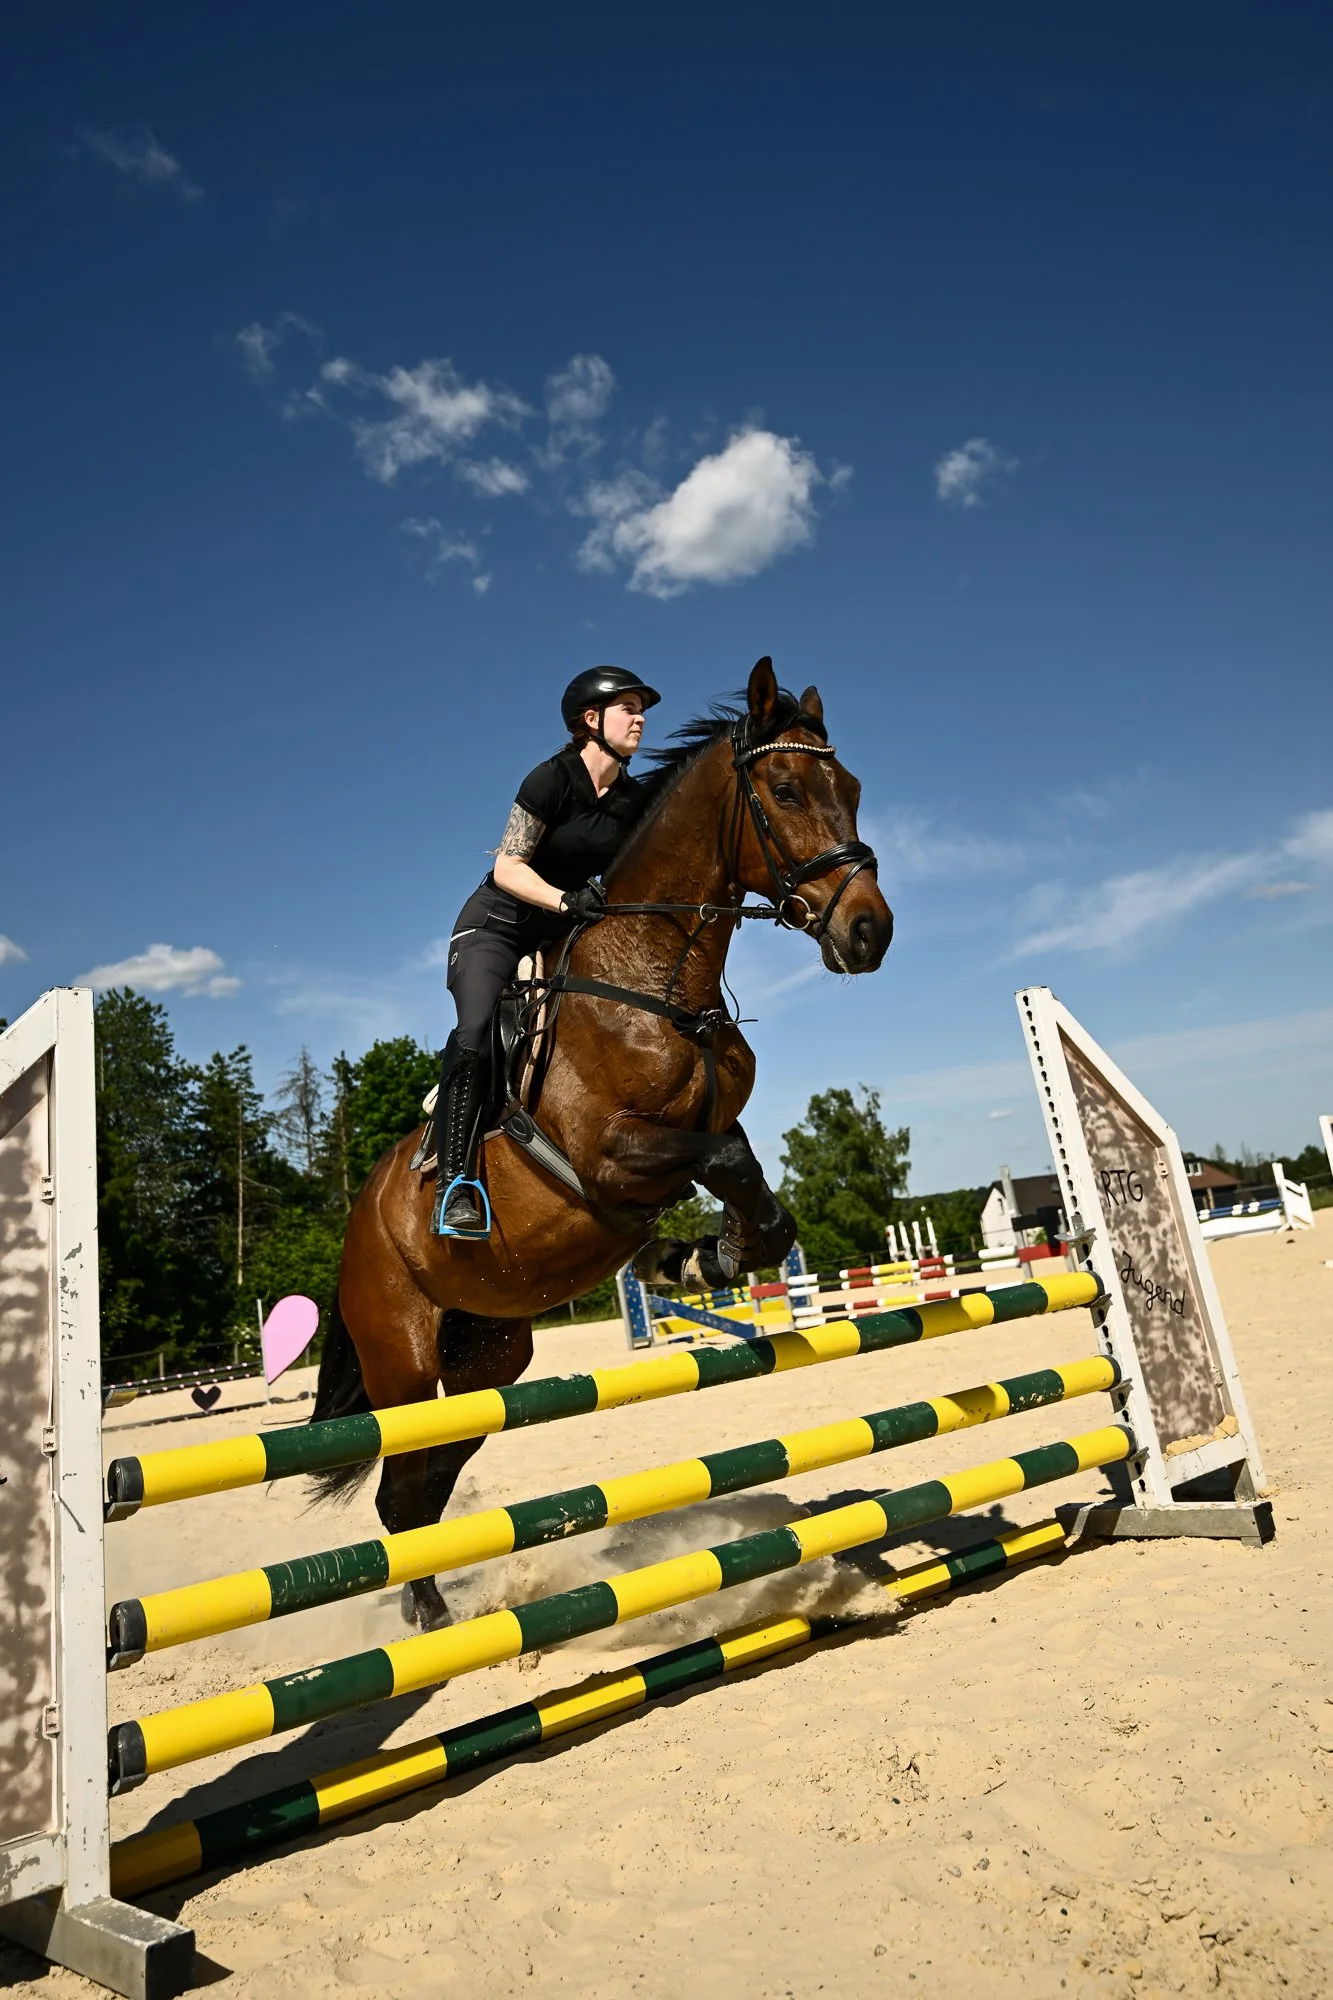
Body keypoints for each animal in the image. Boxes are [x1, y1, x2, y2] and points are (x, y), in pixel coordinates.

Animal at [312, 658, 893, 1627]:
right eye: (783, 790)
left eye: (850, 789)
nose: (869, 932)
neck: (658, 975)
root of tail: (354, 1230)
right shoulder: (607, 1153)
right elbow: (726, 1164)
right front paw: (698, 1255)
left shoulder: (704, 1125)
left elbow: (752, 1186)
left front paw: (702, 1257)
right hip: (402, 1356)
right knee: (401, 1488)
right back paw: (426, 1616)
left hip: (491, 1357)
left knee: (428, 1483)